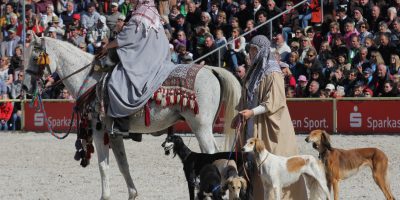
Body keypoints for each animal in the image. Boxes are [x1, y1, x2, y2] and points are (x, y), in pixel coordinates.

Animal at [26, 36, 242, 199]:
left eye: (34, 58)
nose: (27, 87)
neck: (91, 81)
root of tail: (211, 69)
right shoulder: (114, 135)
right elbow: (123, 165)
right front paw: (132, 193)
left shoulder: (99, 131)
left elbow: (103, 166)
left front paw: (105, 196)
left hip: (201, 127)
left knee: (212, 155)